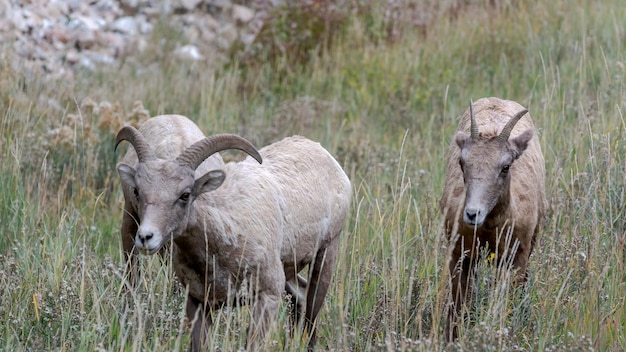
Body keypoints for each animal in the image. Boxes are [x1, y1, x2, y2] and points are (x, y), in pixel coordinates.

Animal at [114, 115, 348, 350]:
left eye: (185, 195)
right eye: (137, 191)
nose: (146, 237)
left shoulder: (267, 297)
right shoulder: (198, 302)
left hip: (326, 254)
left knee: (311, 308)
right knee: (300, 296)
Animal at [436, 97, 544, 340]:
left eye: (505, 166)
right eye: (462, 163)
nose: (472, 213)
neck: (488, 230)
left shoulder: (517, 257)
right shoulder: (460, 255)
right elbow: (458, 306)